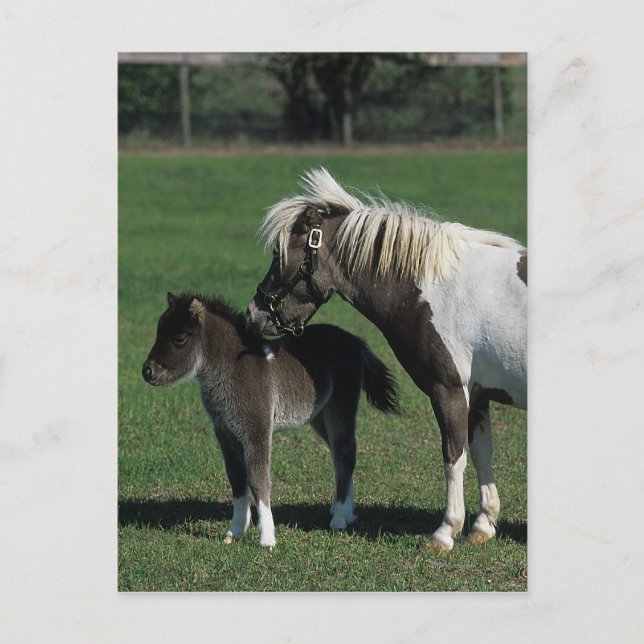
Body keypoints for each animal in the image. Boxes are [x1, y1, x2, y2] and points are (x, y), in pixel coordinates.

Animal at [142, 291, 399, 548]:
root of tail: (355, 341)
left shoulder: (256, 430)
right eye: (158, 331)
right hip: (319, 415)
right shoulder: (225, 433)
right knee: (339, 455)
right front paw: (234, 531)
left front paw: (267, 538)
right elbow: (237, 479)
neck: (232, 369)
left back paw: (340, 518)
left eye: (179, 338)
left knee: (346, 453)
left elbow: (259, 480)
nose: (147, 372)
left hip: (341, 407)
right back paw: (342, 510)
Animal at [246, 168, 527, 551]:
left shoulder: (449, 389)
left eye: (280, 254)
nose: (254, 313)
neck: (433, 288)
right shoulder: (478, 394)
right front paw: (482, 526)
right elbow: (482, 453)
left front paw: (445, 531)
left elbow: (453, 457)